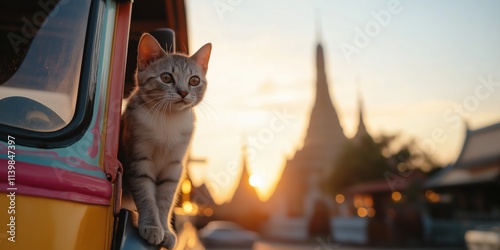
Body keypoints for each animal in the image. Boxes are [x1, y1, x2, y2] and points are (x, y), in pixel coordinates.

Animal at [119, 32, 211, 248]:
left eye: (194, 80)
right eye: (166, 77)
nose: (183, 92)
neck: (169, 119)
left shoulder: (174, 167)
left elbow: (165, 201)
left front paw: (165, 230)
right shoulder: (138, 159)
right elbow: (146, 196)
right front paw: (152, 226)